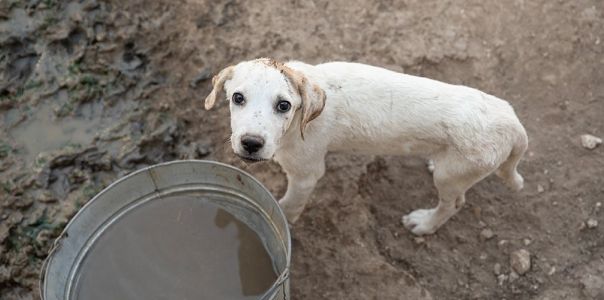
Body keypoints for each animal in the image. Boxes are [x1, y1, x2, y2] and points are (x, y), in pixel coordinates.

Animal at [205, 58, 528, 236]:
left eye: (284, 105)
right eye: (237, 98)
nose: (251, 143)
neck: (300, 119)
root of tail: (513, 121)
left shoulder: (305, 174)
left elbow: (287, 207)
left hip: (452, 177)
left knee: (454, 203)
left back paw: (425, 223)